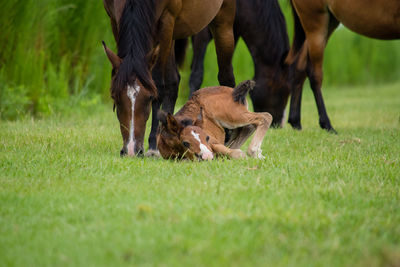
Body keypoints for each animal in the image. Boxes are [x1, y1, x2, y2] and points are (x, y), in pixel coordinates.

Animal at [101, 0, 238, 157]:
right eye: (114, 97)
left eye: (149, 98)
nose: (131, 150)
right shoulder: (114, 18)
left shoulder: (166, 21)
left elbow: (158, 85)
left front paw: (153, 146)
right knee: (173, 81)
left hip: (223, 22)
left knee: (226, 76)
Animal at [286, 0, 400, 133]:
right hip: (315, 22)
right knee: (314, 74)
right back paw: (327, 125)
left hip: (330, 22)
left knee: (300, 66)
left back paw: (296, 123)